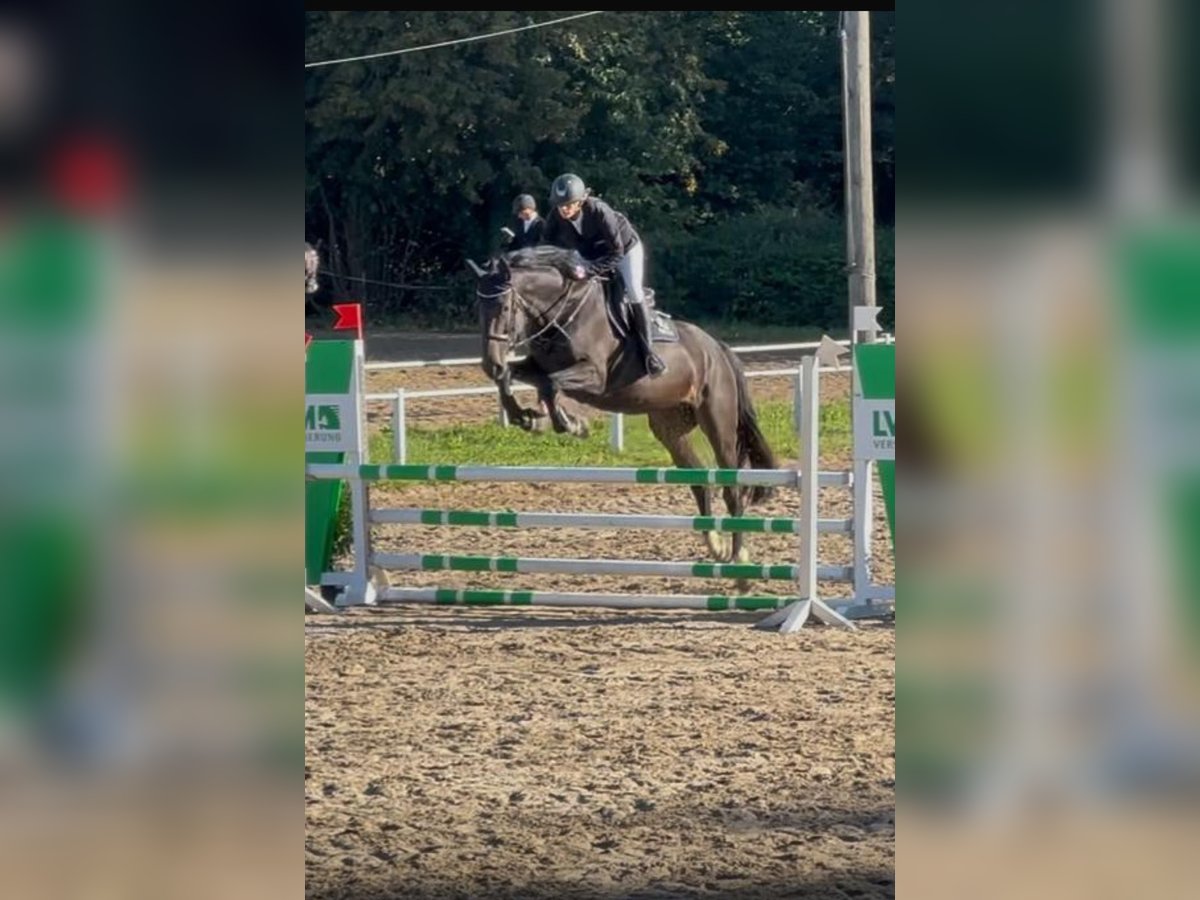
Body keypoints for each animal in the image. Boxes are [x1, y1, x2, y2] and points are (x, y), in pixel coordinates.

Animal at [472, 245, 780, 563]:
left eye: (504, 308)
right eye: (478, 307)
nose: (490, 363)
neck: (564, 313)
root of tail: (717, 349)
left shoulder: (595, 376)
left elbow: (550, 384)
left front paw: (572, 424)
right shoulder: (536, 366)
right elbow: (515, 377)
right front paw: (526, 417)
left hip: (718, 423)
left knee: (732, 487)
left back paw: (739, 553)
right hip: (670, 426)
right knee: (699, 479)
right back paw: (716, 545)